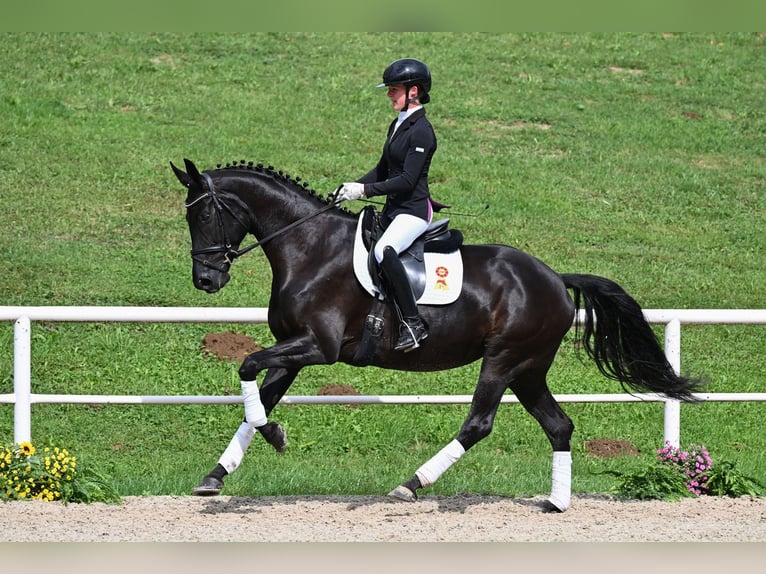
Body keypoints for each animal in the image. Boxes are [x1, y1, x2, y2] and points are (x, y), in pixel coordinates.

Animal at [171, 158, 704, 512]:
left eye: (204, 214)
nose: (206, 280)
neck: (309, 247)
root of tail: (554, 278)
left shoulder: (316, 348)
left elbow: (247, 367)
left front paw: (275, 437)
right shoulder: (293, 352)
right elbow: (256, 401)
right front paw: (218, 474)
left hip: (504, 360)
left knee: (479, 423)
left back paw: (412, 483)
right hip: (528, 369)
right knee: (559, 426)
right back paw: (556, 503)